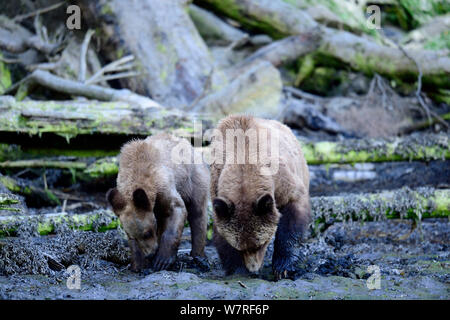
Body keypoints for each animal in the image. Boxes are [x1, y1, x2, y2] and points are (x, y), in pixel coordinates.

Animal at [107, 134, 209, 272]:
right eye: (134, 237)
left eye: (147, 233)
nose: (150, 254)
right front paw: (138, 264)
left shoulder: (163, 184)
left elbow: (176, 208)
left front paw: (162, 260)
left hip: (193, 179)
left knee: (198, 213)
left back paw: (199, 257)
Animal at [210, 115, 310, 280]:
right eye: (240, 247)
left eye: (261, 244)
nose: (254, 269)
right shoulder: (217, 187)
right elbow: (221, 234)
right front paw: (238, 269)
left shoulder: (281, 182)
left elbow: (292, 215)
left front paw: (283, 267)